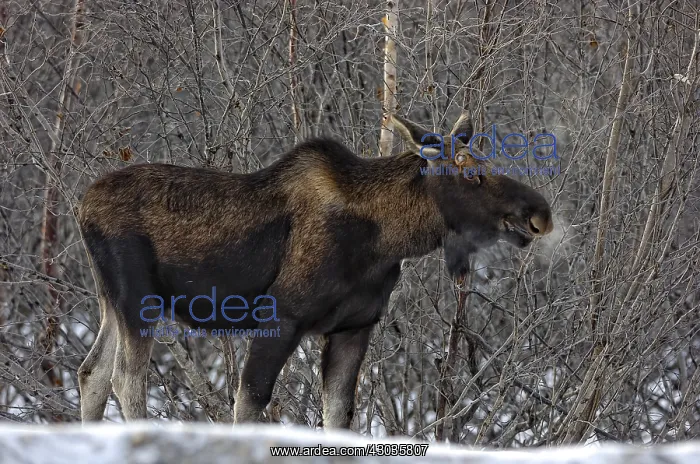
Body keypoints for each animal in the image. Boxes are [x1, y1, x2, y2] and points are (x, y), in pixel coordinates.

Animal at [76, 113, 554, 428]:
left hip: (110, 299)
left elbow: (339, 413)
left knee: (91, 372)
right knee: (125, 378)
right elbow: (249, 402)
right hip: (137, 298)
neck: (387, 240)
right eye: (472, 176)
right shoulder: (281, 317)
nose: (540, 213)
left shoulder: (353, 327)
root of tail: (81, 206)